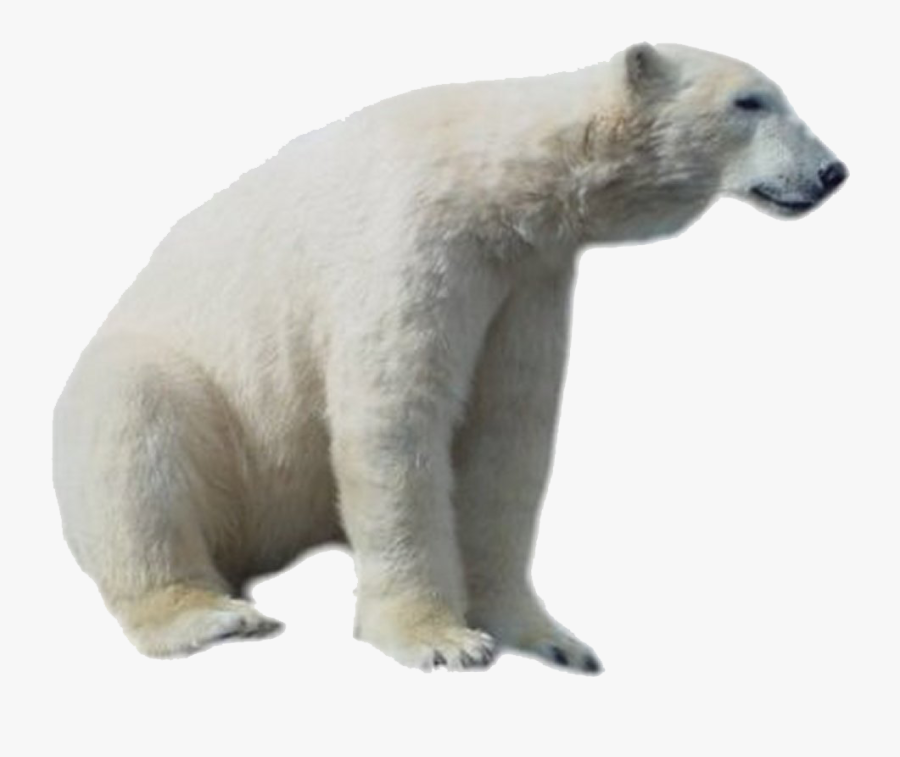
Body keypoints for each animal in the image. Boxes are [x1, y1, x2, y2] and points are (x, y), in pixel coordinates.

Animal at [53, 43, 847, 672]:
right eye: (750, 100)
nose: (832, 170)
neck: (493, 180)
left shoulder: (525, 278)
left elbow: (506, 435)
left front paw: (549, 637)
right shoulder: (414, 241)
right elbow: (396, 418)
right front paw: (441, 640)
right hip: (196, 408)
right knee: (136, 426)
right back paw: (214, 614)